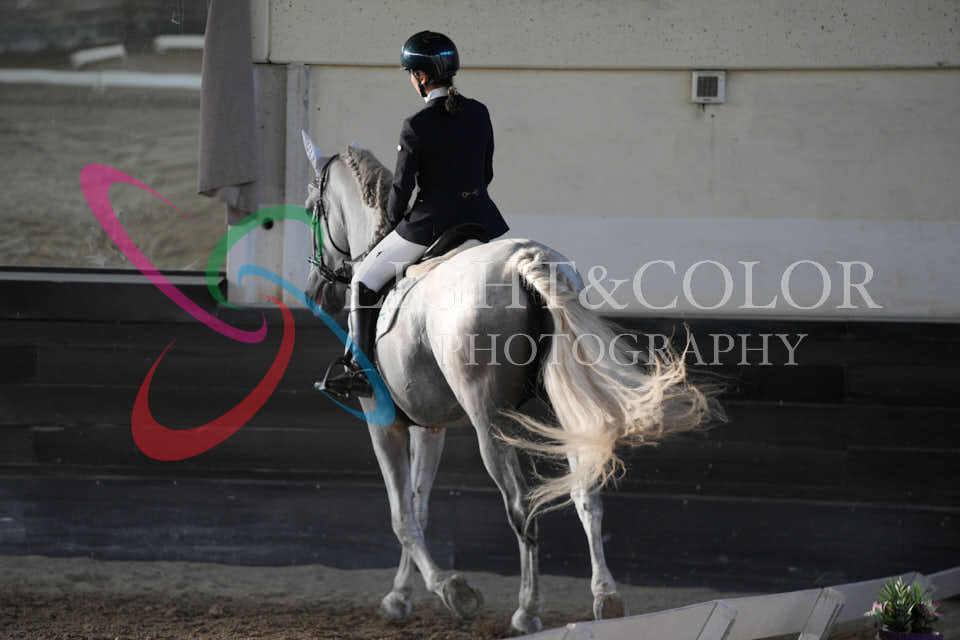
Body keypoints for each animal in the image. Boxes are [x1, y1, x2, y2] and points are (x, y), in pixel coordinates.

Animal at [300, 134, 722, 635]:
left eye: (312, 207)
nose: (314, 290)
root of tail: (524, 261)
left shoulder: (384, 422)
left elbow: (402, 516)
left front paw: (453, 591)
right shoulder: (430, 425)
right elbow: (419, 507)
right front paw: (400, 597)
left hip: (489, 423)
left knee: (521, 506)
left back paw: (527, 611)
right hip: (565, 404)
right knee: (586, 491)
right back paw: (607, 599)